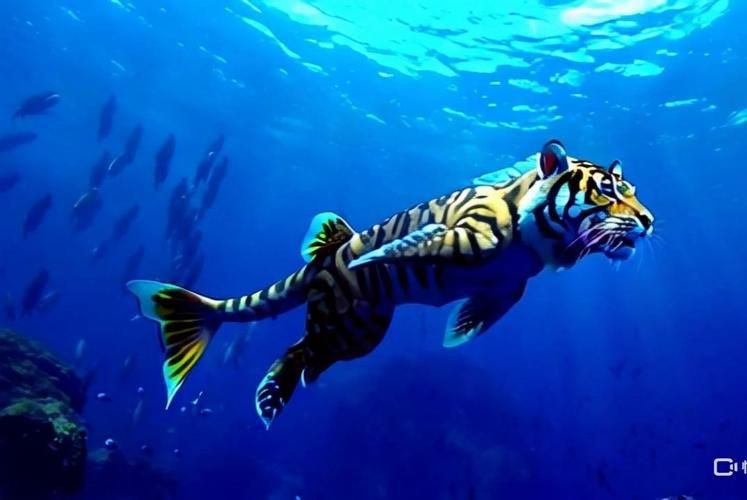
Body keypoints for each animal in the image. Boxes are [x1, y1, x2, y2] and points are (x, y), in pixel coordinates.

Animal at [128, 139, 654, 428]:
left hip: (360, 330)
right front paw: (375, 254)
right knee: (300, 349)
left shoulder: (506, 287)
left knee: (303, 353)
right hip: (347, 322)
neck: (534, 238)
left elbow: (476, 316)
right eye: (607, 190)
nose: (649, 221)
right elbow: (407, 245)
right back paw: (271, 400)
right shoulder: (469, 237)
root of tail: (319, 259)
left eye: (631, 189)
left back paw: (272, 400)